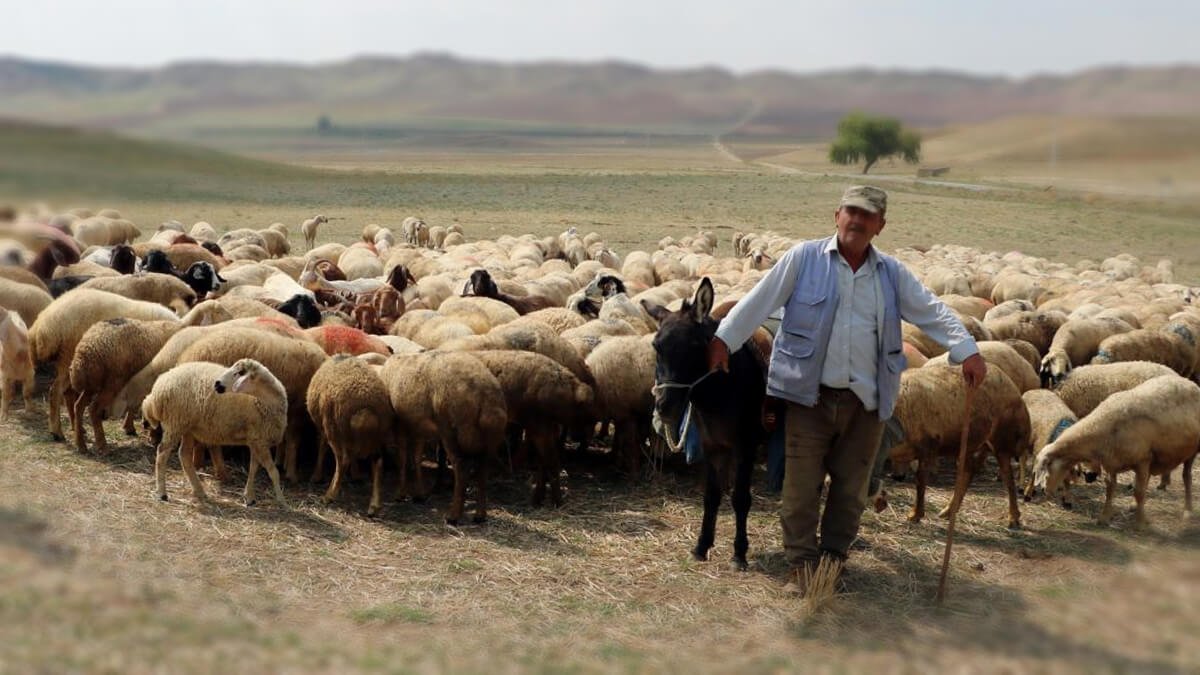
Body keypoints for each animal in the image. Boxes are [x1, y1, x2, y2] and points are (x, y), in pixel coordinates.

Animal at [142, 357, 285, 504]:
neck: (264, 402)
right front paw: (281, 500)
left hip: (187, 427)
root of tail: (157, 388)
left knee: (184, 455)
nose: (216, 384)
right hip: (175, 423)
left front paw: (249, 496)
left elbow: (253, 468)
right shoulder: (259, 441)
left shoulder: (257, 440)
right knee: (162, 453)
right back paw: (162, 493)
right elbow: (273, 471)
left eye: (240, 373)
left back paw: (199, 491)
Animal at [304, 355, 393, 511]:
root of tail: (365, 410)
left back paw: (329, 495)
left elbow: (322, 446)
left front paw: (316, 476)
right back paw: (374, 505)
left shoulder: (324, 428)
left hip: (334, 427)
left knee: (342, 460)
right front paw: (356, 474)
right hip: (378, 434)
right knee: (378, 461)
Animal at [1032, 372, 1200, 526]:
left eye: (1047, 467)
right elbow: (1110, 490)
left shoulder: (1143, 460)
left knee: (1186, 476)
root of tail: (1189, 382)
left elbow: (1139, 492)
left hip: (1192, 451)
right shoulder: (1111, 463)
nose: (1042, 490)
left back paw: (1187, 511)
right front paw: (1105, 517)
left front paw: (1140, 522)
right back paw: (1134, 506)